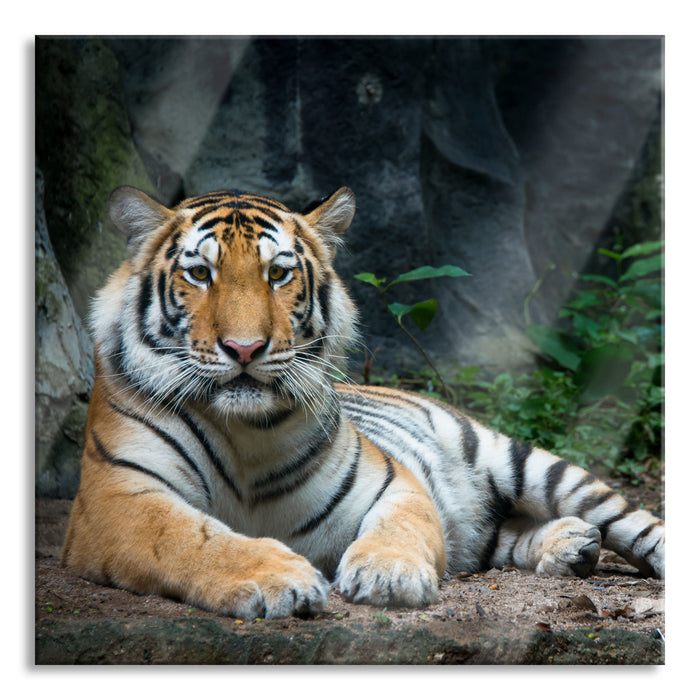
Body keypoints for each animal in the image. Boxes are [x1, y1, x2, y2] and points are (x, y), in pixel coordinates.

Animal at [61, 185, 665, 620]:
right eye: (200, 273)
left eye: (277, 273)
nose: (245, 348)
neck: (246, 432)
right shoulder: (118, 498)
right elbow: (192, 539)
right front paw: (279, 578)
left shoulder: (392, 481)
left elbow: (399, 529)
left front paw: (388, 577)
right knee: (498, 535)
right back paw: (571, 544)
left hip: (527, 463)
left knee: (635, 523)